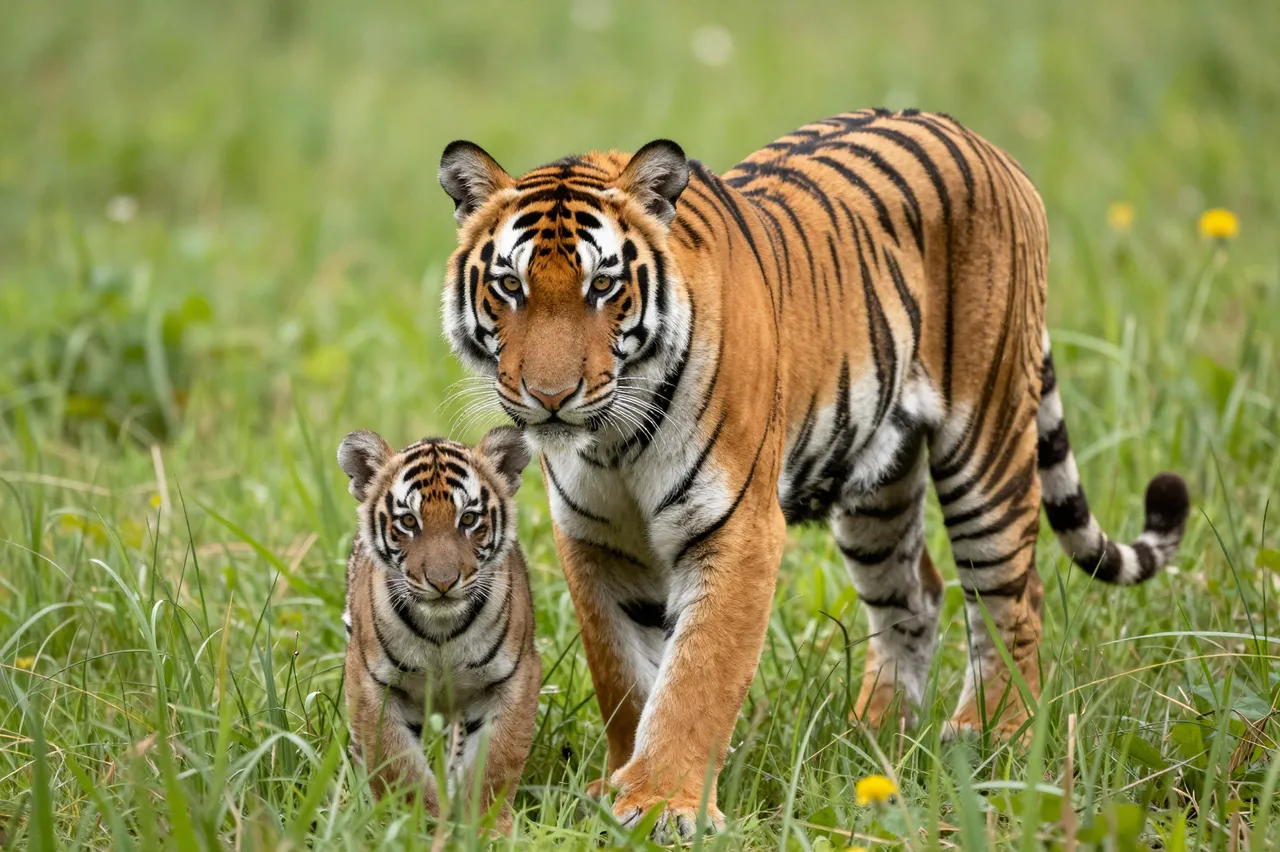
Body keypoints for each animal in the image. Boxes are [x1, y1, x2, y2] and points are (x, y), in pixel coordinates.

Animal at [338, 426, 539, 834]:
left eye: (469, 518)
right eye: (408, 522)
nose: (443, 582)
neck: (441, 630)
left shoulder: (513, 678)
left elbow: (497, 762)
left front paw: (486, 828)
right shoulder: (373, 686)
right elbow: (398, 767)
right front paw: (416, 827)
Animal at [436, 108, 1190, 841]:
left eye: (603, 286)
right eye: (510, 286)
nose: (550, 396)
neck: (614, 442)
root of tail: (979, 140)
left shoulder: (735, 527)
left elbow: (696, 676)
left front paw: (660, 803)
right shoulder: (598, 540)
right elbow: (623, 674)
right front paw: (617, 785)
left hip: (988, 442)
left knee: (1013, 594)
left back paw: (992, 738)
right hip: (877, 487)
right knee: (914, 596)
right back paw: (874, 741)